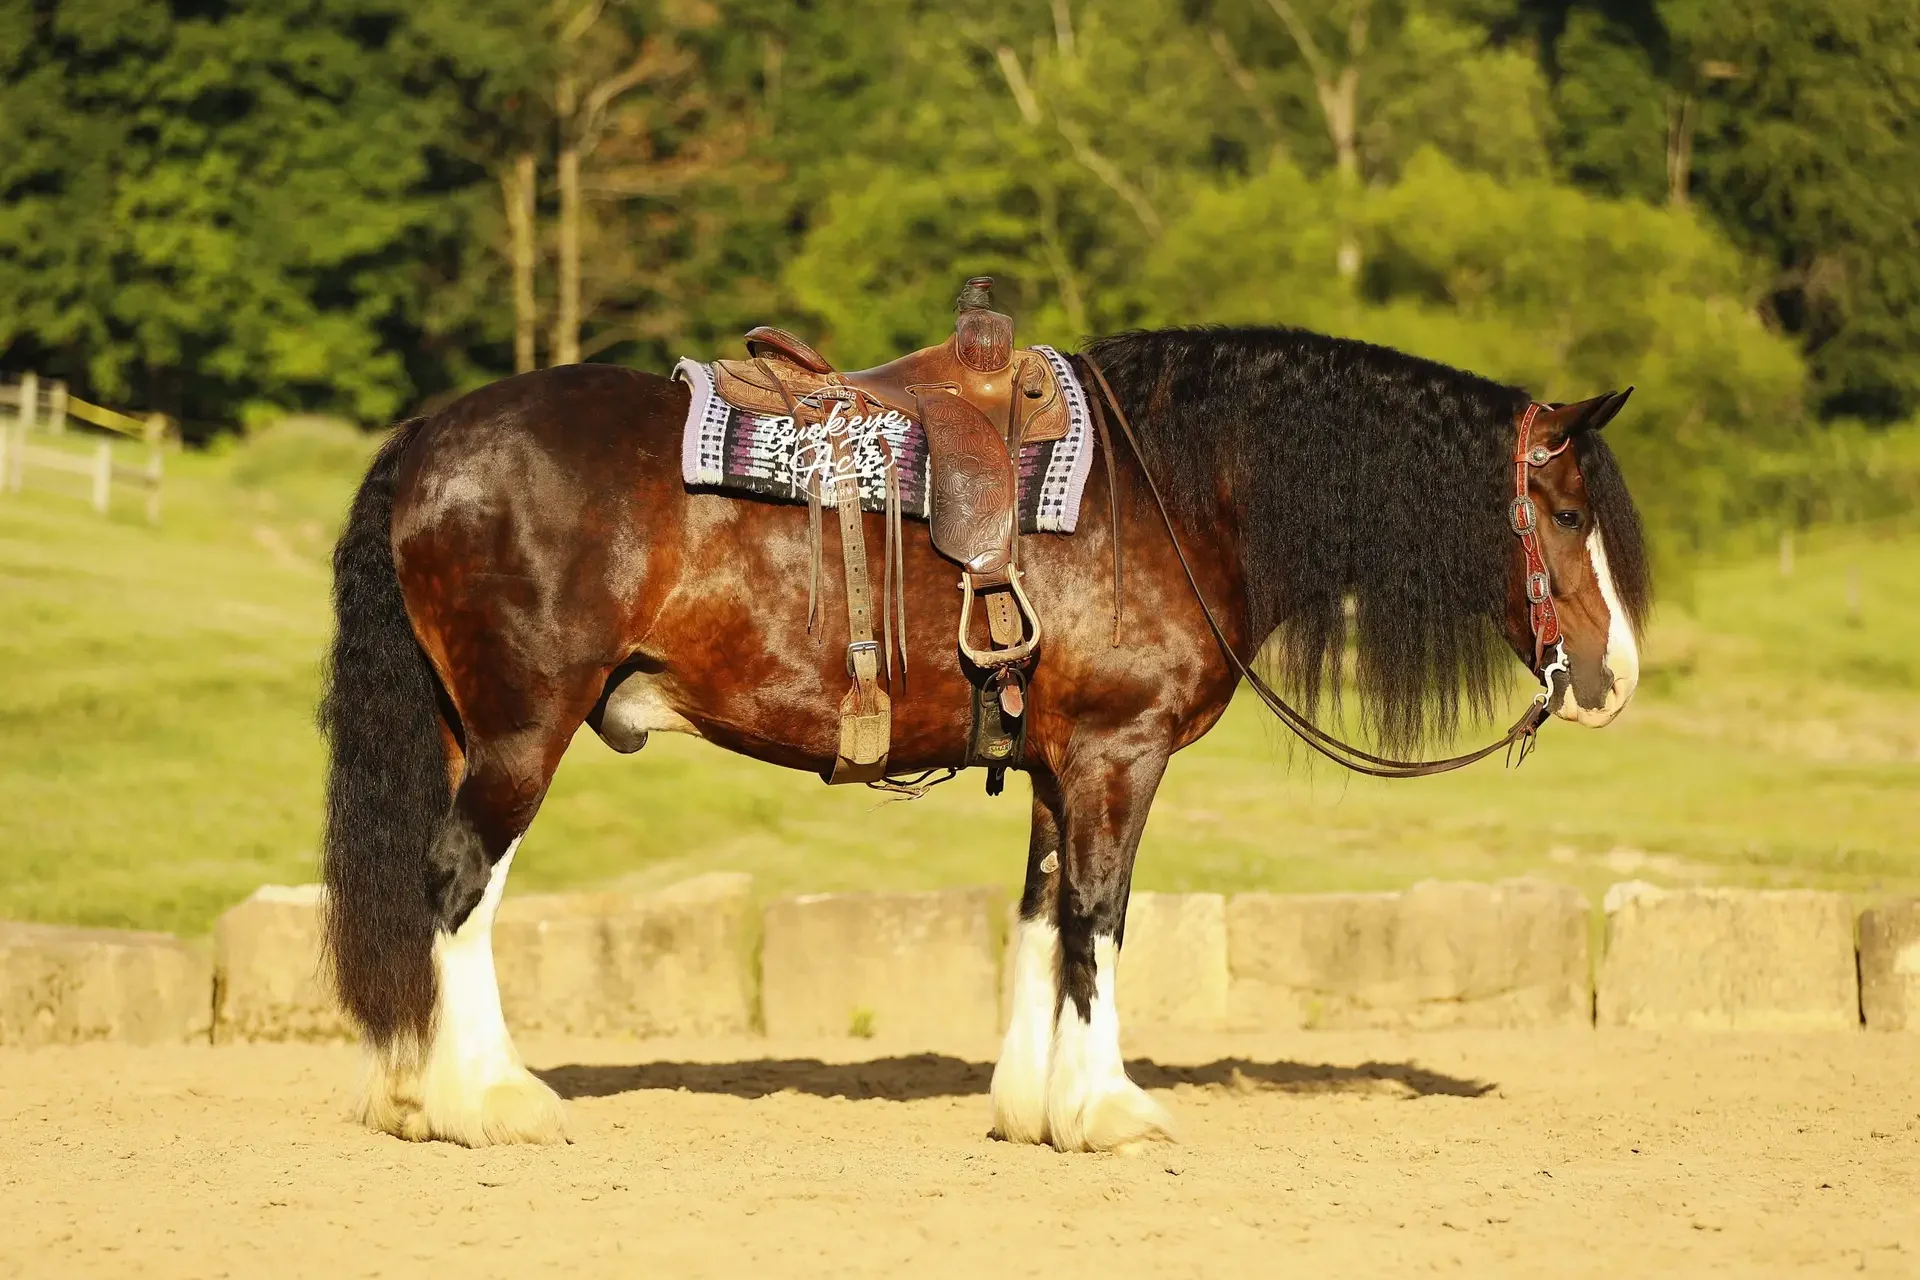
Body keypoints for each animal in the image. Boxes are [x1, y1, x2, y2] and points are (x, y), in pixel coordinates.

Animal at [318, 324, 1651, 1151]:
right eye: (1562, 511)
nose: (1614, 678)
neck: (1170, 493)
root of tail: (428, 437)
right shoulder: (1119, 751)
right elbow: (1101, 915)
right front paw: (1109, 1109)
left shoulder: (1063, 761)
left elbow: (1041, 913)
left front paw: (1030, 1103)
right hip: (521, 730)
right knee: (458, 881)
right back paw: (491, 1098)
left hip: (464, 728)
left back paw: (413, 1090)